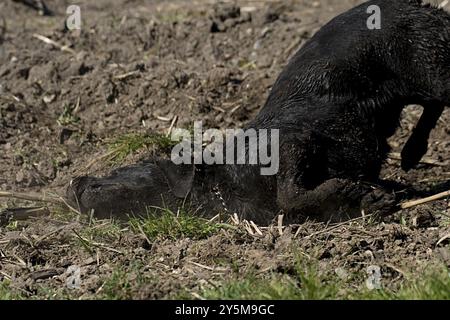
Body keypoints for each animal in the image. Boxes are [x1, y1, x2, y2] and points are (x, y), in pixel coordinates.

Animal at [66, 0, 446, 225]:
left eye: (123, 168)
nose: (74, 182)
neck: (223, 183)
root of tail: (420, 6)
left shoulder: (291, 144)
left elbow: (289, 195)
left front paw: (371, 195)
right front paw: (374, 196)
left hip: (429, 67)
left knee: (437, 99)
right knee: (432, 106)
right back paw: (411, 155)